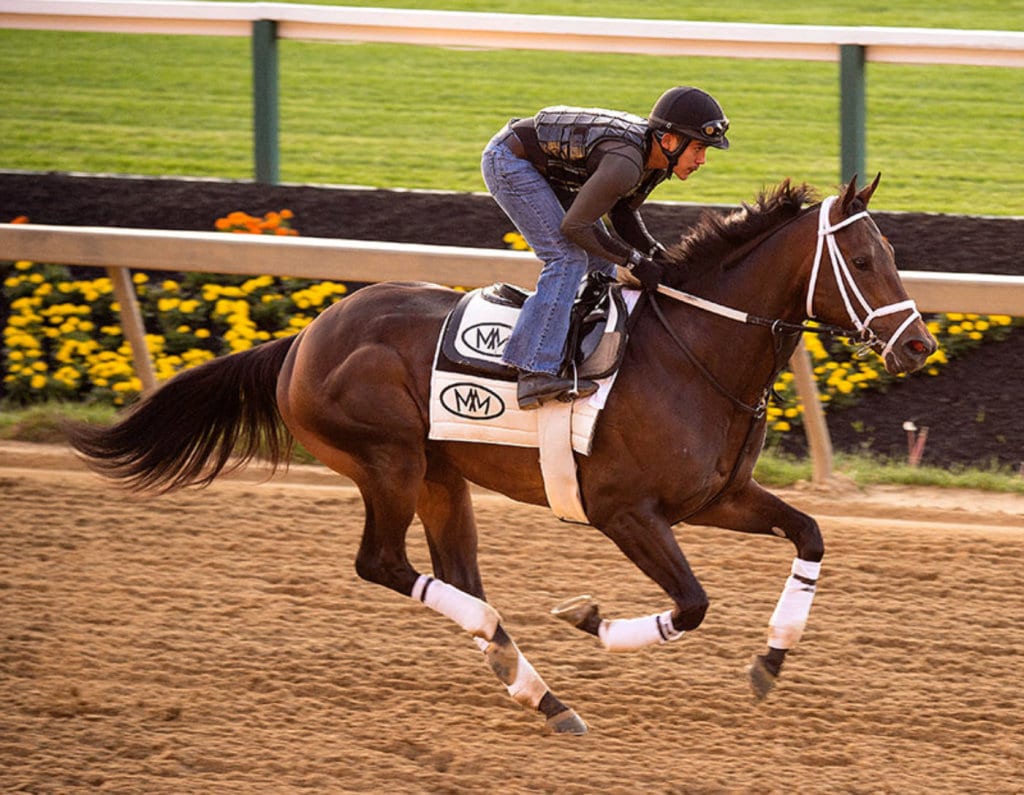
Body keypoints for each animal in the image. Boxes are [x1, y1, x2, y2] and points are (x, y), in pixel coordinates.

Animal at [68, 177, 937, 737]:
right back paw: (523, 669)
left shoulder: (717, 496)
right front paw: (587, 616)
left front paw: (771, 659)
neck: (692, 352)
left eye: (893, 252)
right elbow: (691, 603)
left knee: (455, 573)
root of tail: (306, 336)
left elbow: (811, 534)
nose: (917, 345)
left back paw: (535, 690)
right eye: (864, 262)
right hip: (387, 462)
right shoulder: (623, 511)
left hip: (441, 475)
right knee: (383, 563)